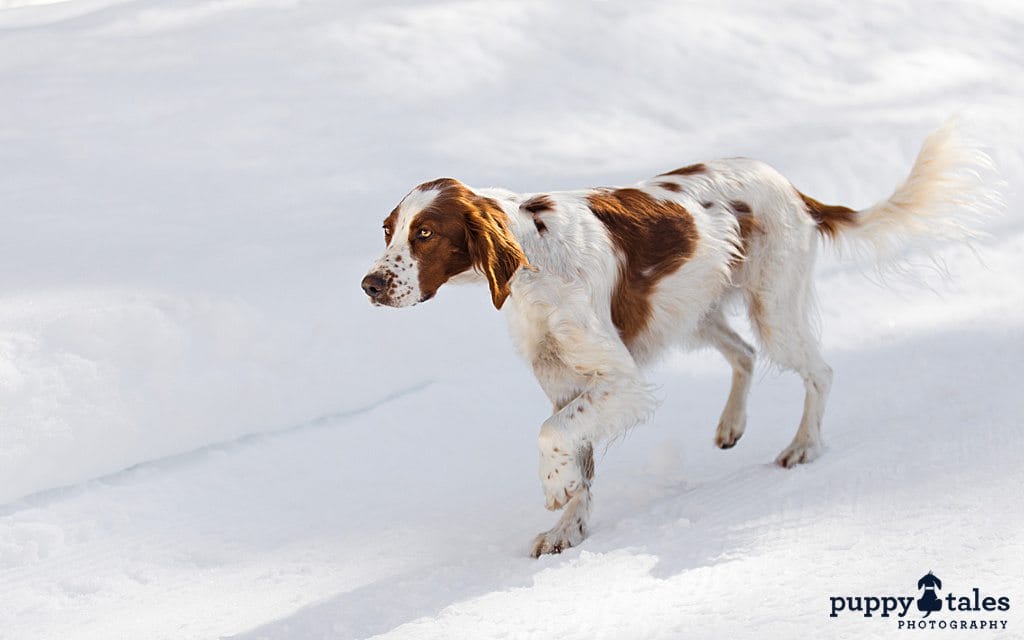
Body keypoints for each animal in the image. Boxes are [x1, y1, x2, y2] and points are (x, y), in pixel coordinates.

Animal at [358, 119, 991, 552]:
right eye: (389, 231)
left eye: (425, 233)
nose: (369, 284)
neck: (536, 258)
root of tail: (790, 186)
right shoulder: (566, 382)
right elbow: (574, 450)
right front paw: (568, 528)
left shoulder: (617, 381)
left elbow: (551, 434)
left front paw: (555, 492)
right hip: (695, 313)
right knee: (744, 354)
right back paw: (731, 425)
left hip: (773, 307)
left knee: (819, 370)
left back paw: (804, 446)